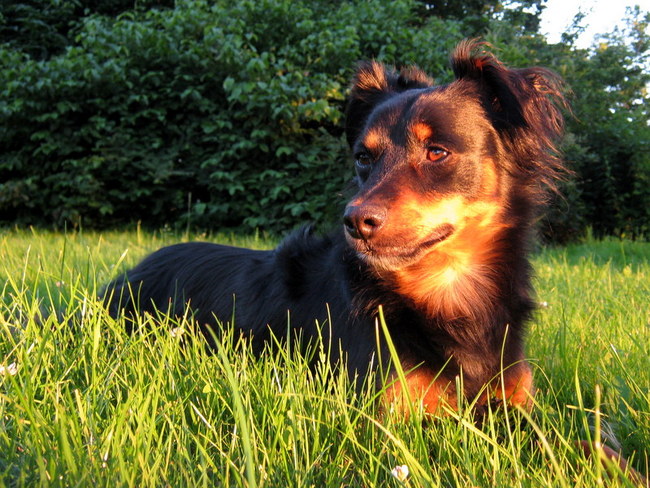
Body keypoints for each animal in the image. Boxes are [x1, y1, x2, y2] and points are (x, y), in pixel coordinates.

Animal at [103, 40, 567, 415]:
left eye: (437, 152)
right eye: (364, 157)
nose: (356, 222)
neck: (447, 289)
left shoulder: (517, 398)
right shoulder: (393, 412)